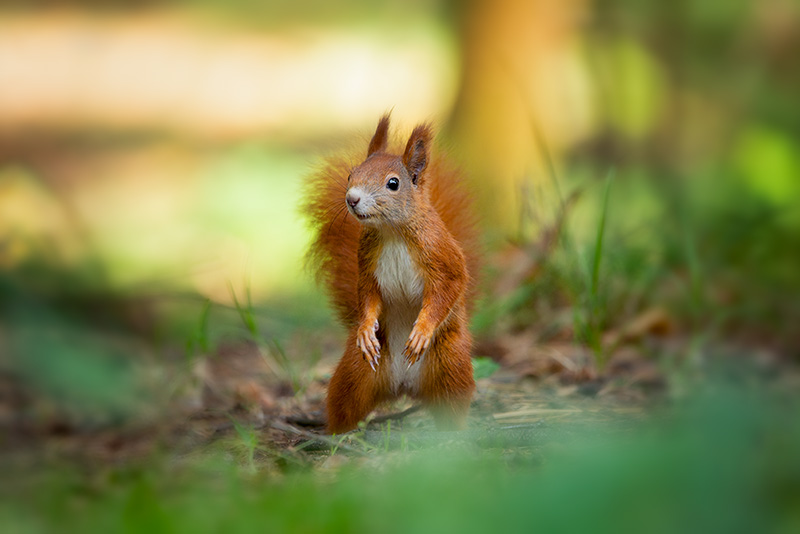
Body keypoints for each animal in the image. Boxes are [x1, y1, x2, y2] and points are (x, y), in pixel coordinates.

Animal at [302, 114, 478, 436]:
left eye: (393, 183)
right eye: (351, 174)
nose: (352, 199)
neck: (392, 231)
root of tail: (403, 386)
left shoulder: (442, 255)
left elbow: (448, 289)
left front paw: (422, 330)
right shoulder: (367, 265)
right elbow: (367, 296)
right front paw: (365, 327)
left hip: (451, 364)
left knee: (452, 404)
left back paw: (453, 438)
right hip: (355, 372)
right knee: (345, 402)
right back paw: (338, 437)